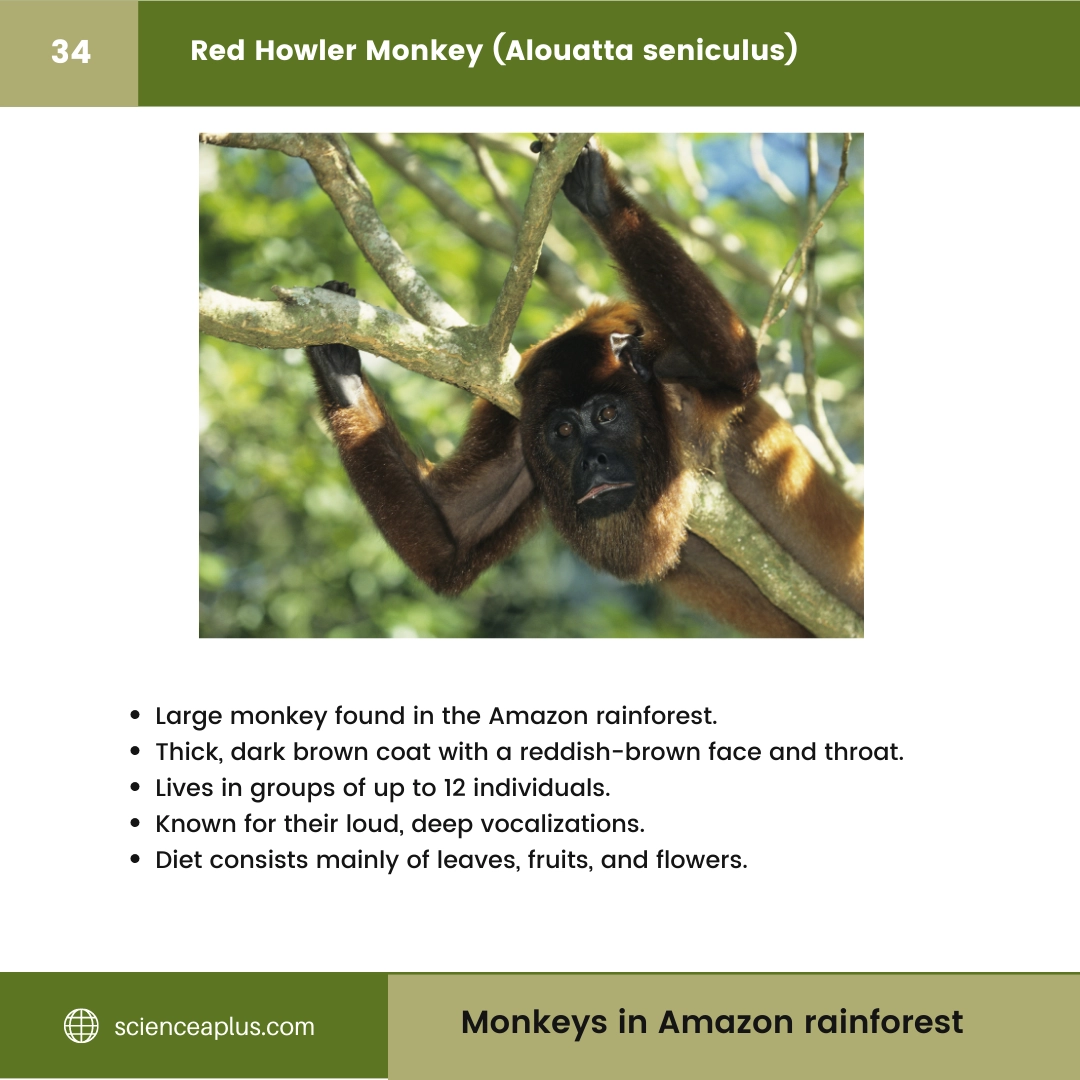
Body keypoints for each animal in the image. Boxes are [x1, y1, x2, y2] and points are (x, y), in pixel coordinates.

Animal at [304, 141, 864, 637]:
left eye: (607, 417)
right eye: (565, 432)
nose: (593, 459)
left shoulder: (667, 370)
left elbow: (737, 366)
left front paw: (599, 194)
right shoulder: (517, 423)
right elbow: (453, 535)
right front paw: (338, 364)